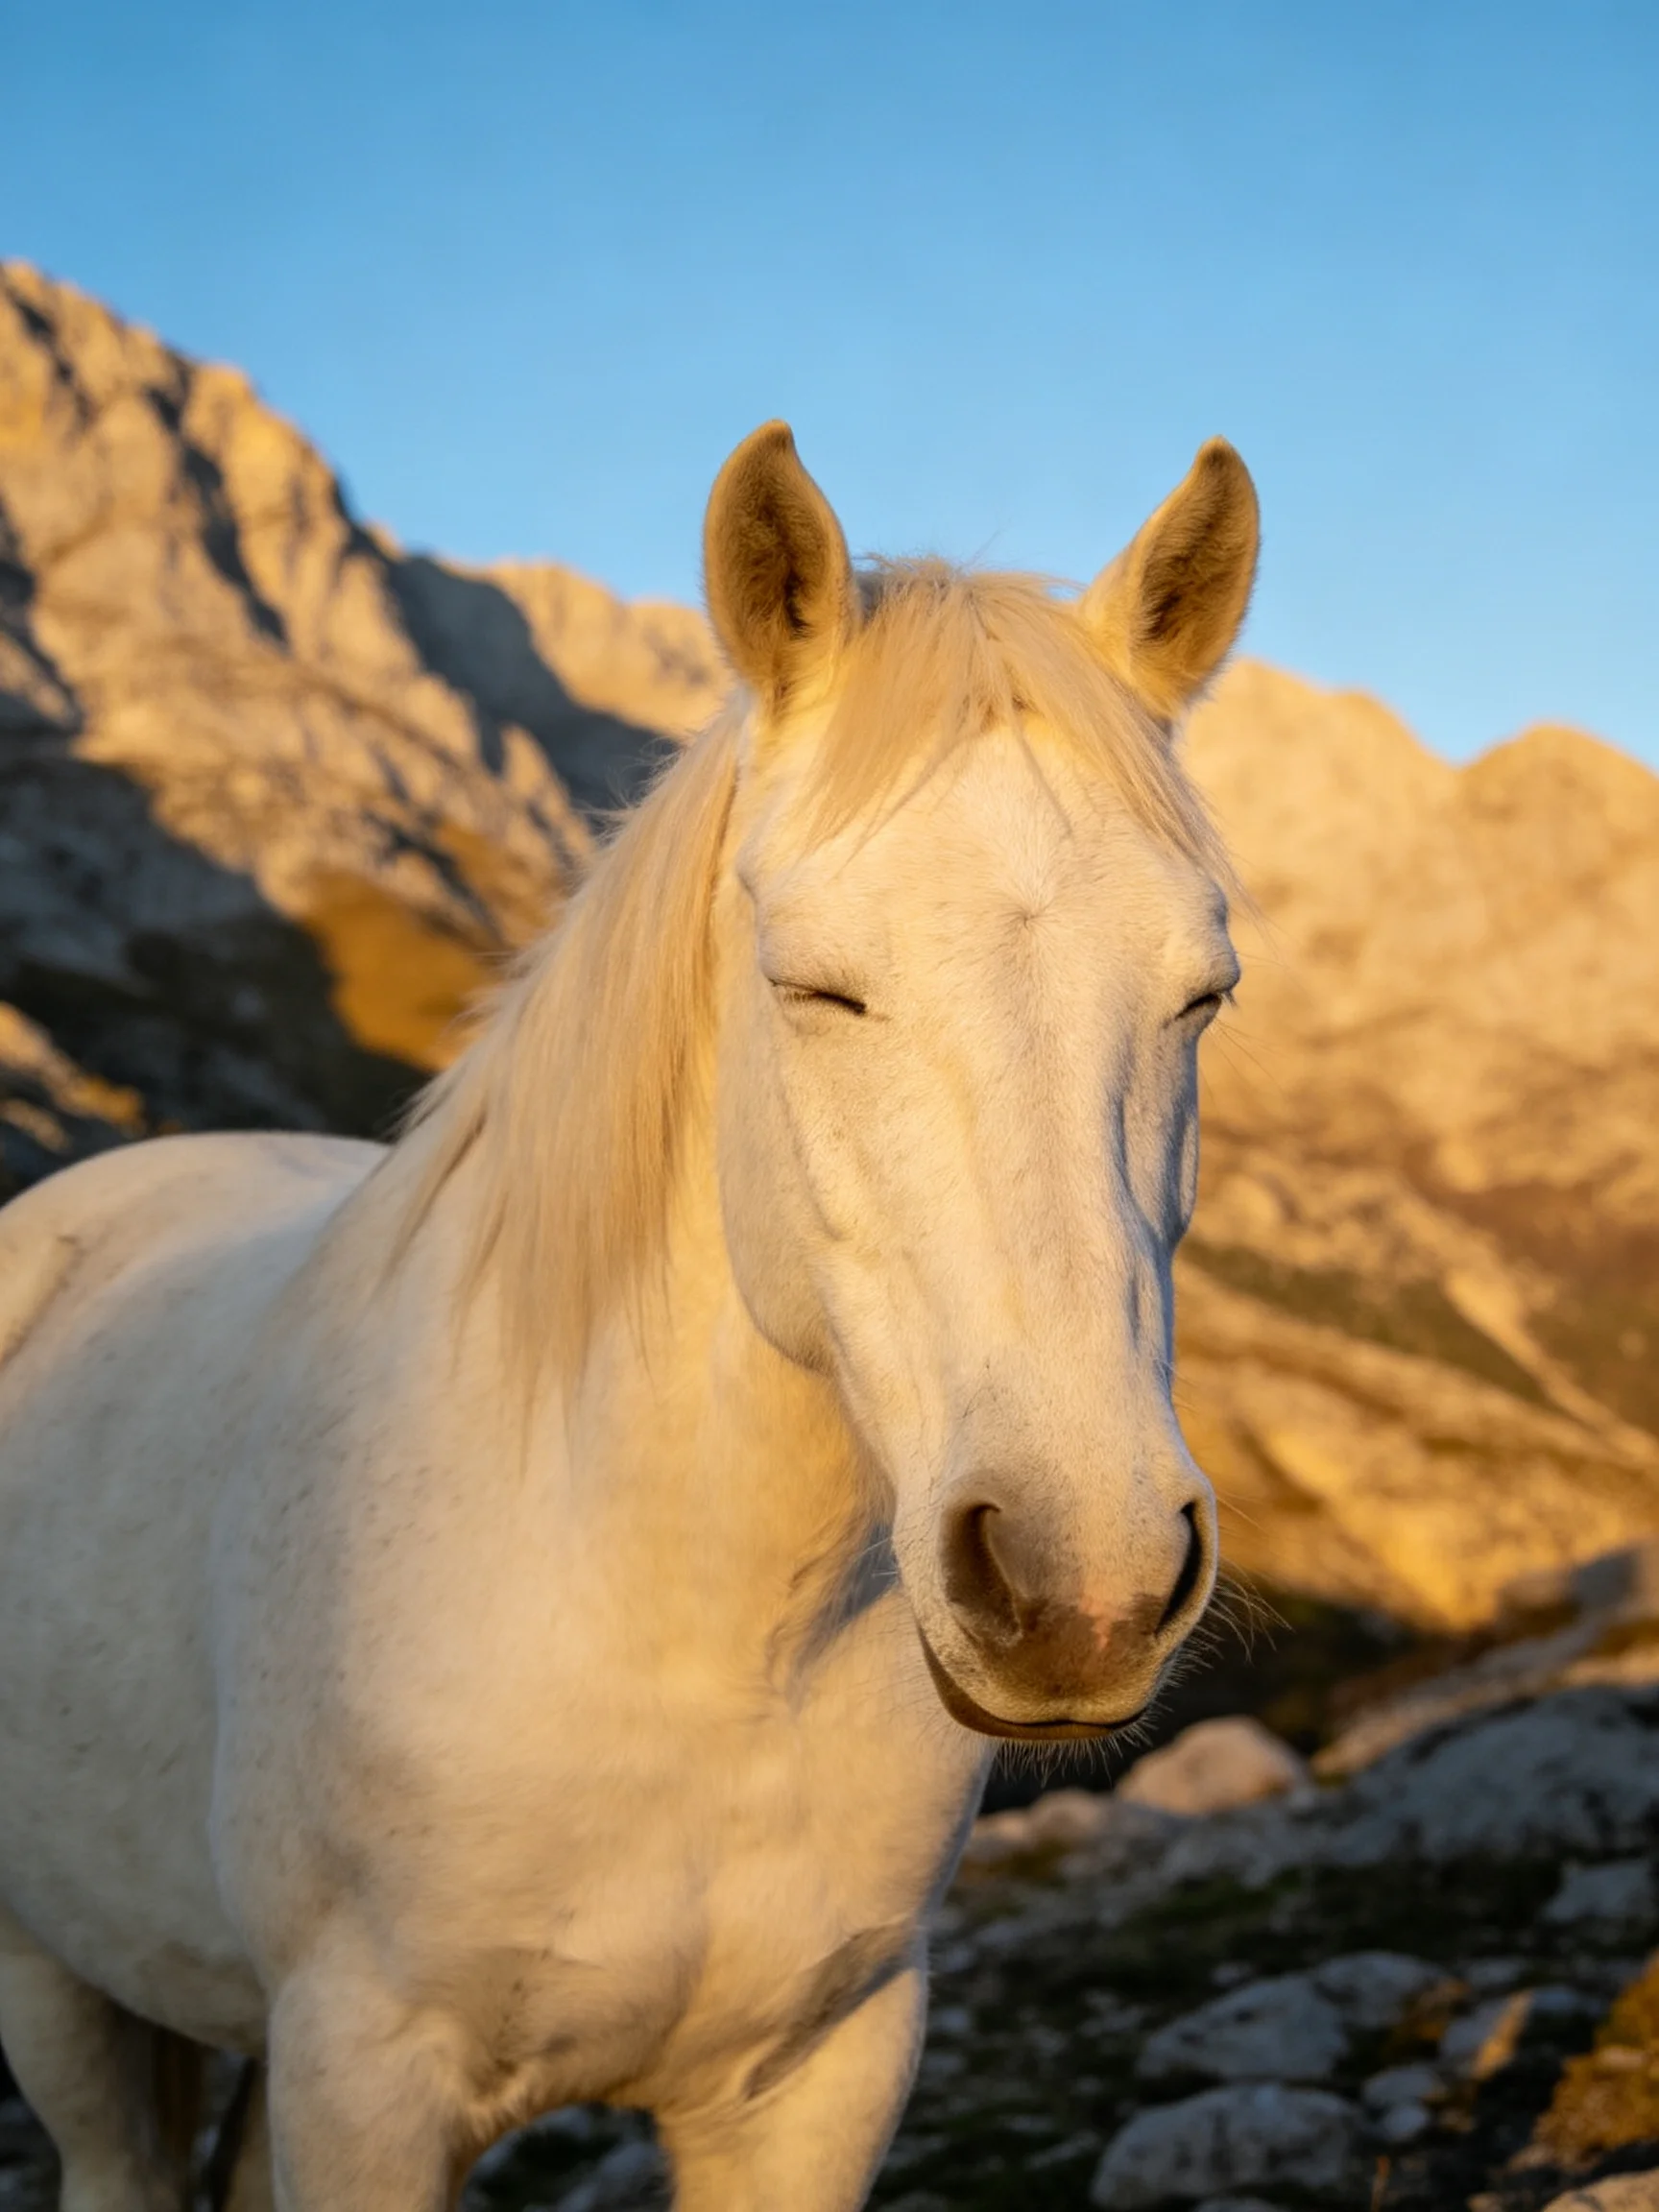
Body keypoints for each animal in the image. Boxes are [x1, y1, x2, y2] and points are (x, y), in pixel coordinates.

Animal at [0, 421, 1257, 2211]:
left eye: (1202, 991)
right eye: (813, 985)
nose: (1082, 1583)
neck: (693, 1637)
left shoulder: (821, 2080)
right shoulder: (365, 2085)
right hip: (55, 1983)